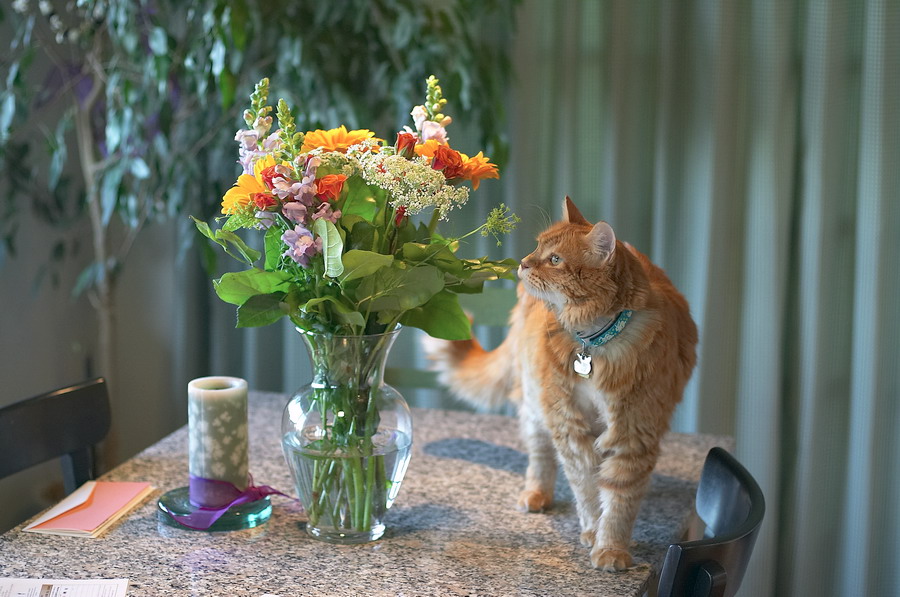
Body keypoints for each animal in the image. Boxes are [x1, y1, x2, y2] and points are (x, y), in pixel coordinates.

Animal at [426, 196, 700, 568]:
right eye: (537, 246)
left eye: (555, 260)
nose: (523, 263)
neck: (595, 341)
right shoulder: (568, 424)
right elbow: (586, 488)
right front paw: (593, 532)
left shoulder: (634, 432)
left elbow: (619, 500)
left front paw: (611, 547)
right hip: (536, 403)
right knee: (540, 455)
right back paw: (536, 494)